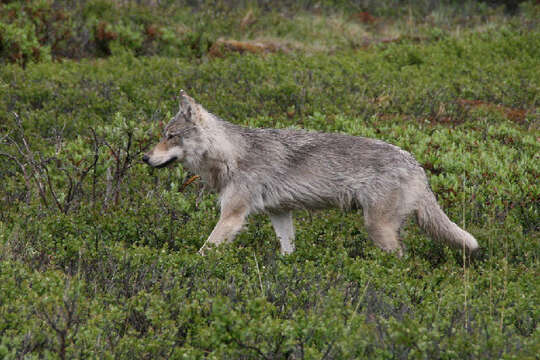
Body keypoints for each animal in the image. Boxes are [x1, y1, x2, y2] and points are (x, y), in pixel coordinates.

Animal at [141, 91, 478, 258]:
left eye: (170, 136)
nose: (144, 157)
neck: (231, 155)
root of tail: (415, 163)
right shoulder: (280, 214)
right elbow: (288, 250)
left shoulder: (232, 217)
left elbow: (203, 251)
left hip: (377, 228)